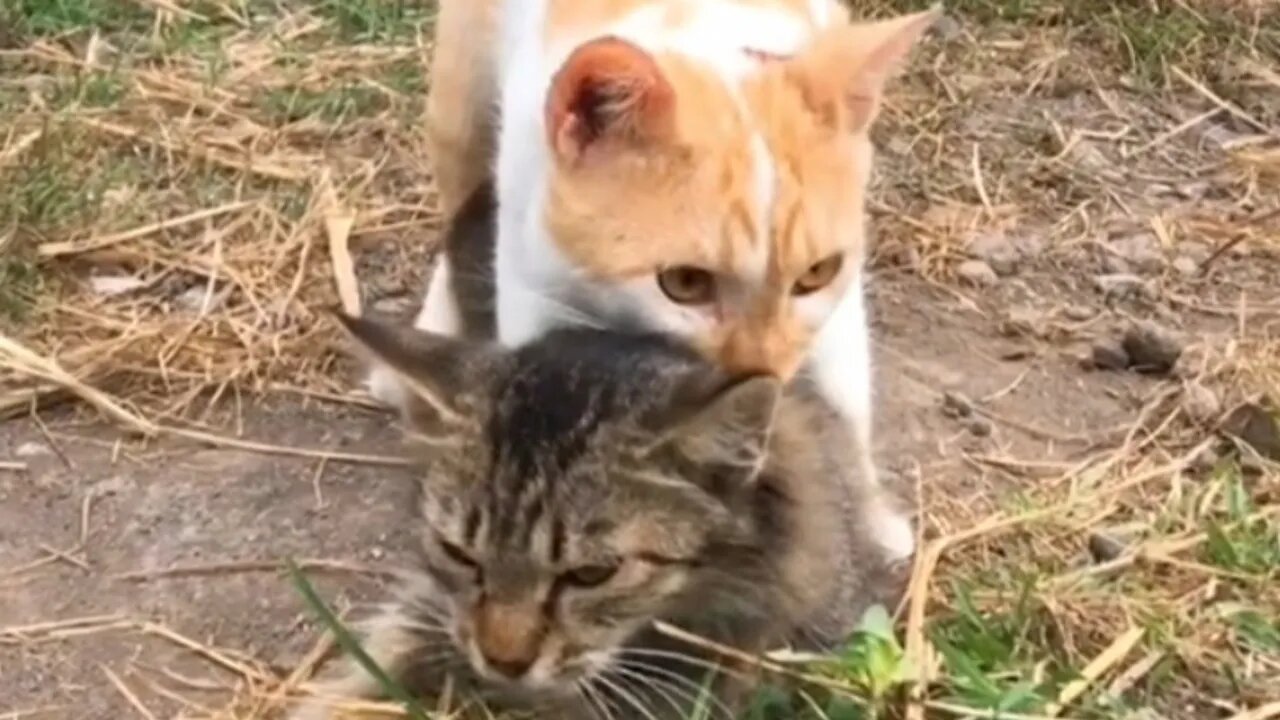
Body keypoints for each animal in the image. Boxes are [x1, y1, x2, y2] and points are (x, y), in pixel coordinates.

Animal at [373, 0, 936, 561]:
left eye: (817, 274)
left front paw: (874, 519)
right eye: (684, 283)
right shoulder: (535, 283)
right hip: (463, 103)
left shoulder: (838, 310)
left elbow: (848, 402)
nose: (764, 377)